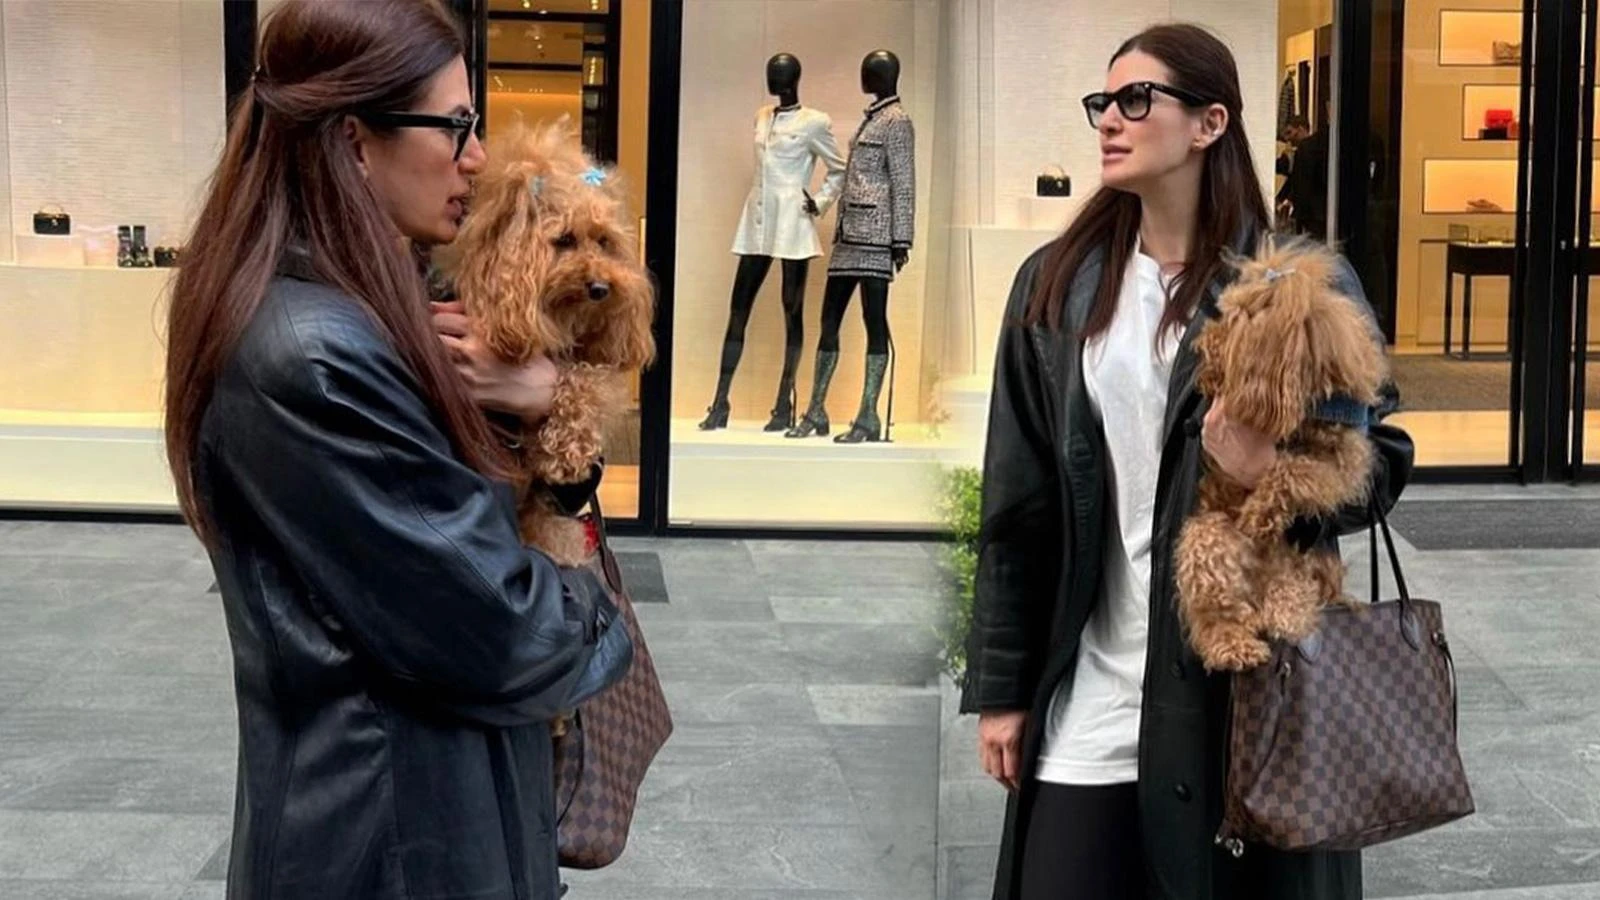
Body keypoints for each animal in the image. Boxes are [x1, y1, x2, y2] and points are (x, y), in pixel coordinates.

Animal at [435, 118, 655, 568]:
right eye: (565, 240)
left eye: (604, 242)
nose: (601, 287)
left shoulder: (587, 359)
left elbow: (587, 380)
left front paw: (568, 449)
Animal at [1173, 239, 1388, 672]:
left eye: (1235, 319)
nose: (1202, 345)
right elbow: (1290, 466)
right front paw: (1258, 513)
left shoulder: (1345, 459)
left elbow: (1295, 468)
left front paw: (1261, 511)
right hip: (1208, 536)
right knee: (1216, 619)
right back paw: (1236, 644)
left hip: (1307, 562)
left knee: (1291, 593)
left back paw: (1282, 612)